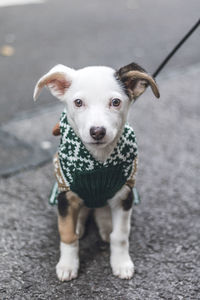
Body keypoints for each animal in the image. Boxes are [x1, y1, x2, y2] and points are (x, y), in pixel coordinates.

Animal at [33, 62, 160, 282]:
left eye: (115, 102)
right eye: (78, 102)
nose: (97, 131)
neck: (98, 160)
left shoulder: (125, 195)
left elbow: (120, 236)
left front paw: (121, 263)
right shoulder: (66, 195)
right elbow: (67, 235)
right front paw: (68, 265)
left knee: (103, 213)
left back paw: (106, 225)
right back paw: (79, 225)